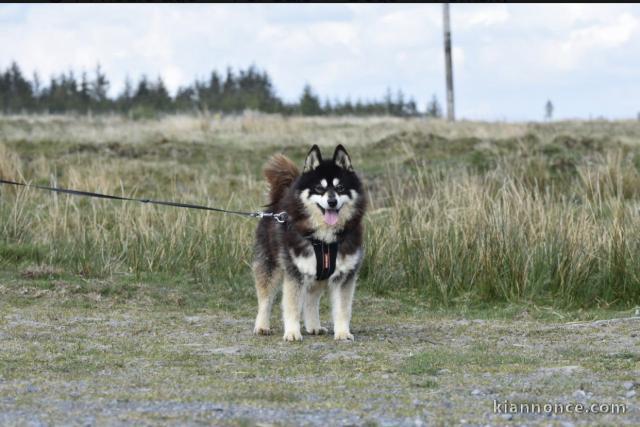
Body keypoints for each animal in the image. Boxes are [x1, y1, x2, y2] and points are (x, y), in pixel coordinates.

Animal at [252, 145, 368, 342]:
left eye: (340, 187)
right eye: (319, 188)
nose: (332, 201)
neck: (325, 240)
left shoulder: (345, 275)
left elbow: (343, 309)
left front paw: (343, 332)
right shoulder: (295, 272)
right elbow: (291, 306)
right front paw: (292, 332)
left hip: (319, 274)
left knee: (311, 299)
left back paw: (314, 326)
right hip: (271, 266)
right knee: (265, 298)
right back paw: (262, 326)